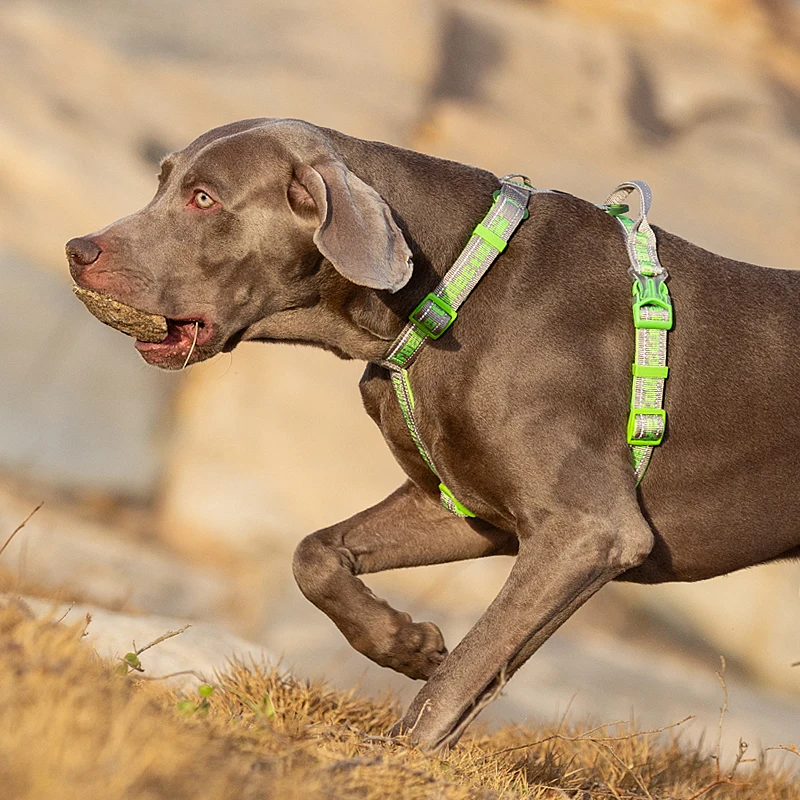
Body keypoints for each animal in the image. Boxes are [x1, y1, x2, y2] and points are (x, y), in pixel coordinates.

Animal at [67, 119, 800, 752]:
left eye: (203, 198)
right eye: (162, 182)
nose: (78, 250)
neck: (452, 285)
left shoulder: (590, 531)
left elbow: (473, 662)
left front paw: (398, 752)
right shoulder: (469, 508)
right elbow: (314, 555)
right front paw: (407, 644)